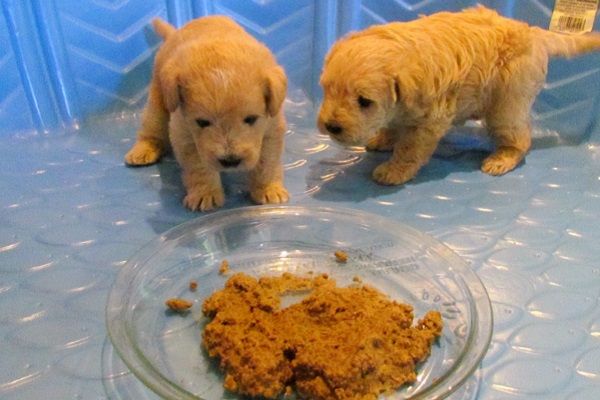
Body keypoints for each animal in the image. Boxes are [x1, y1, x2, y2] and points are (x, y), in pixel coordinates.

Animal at [125, 17, 290, 211]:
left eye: (251, 119)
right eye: (202, 122)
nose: (230, 161)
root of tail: (174, 33)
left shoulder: (272, 129)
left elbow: (267, 163)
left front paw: (268, 189)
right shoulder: (185, 134)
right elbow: (199, 167)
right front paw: (205, 193)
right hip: (159, 101)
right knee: (151, 129)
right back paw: (143, 150)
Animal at [318, 5, 600, 186]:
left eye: (364, 102)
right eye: (326, 89)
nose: (331, 127)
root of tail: (533, 32)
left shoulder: (429, 122)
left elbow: (410, 148)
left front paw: (394, 170)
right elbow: (391, 125)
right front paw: (383, 138)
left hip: (507, 104)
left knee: (518, 138)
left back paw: (503, 158)